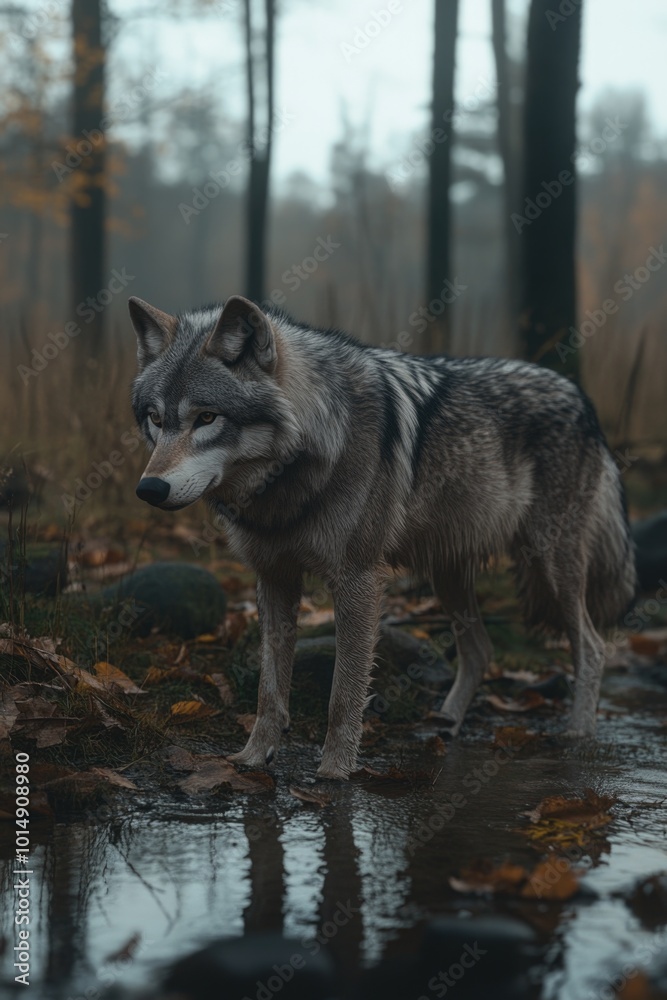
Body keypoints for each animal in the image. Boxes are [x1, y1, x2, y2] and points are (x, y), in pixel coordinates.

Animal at [128, 293, 637, 780]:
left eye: (207, 418)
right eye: (156, 418)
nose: (149, 489)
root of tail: (580, 397)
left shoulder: (358, 580)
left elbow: (343, 694)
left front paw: (335, 772)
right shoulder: (274, 578)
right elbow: (268, 691)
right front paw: (252, 758)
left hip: (550, 566)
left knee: (592, 646)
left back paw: (577, 733)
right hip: (449, 577)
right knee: (481, 650)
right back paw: (445, 723)